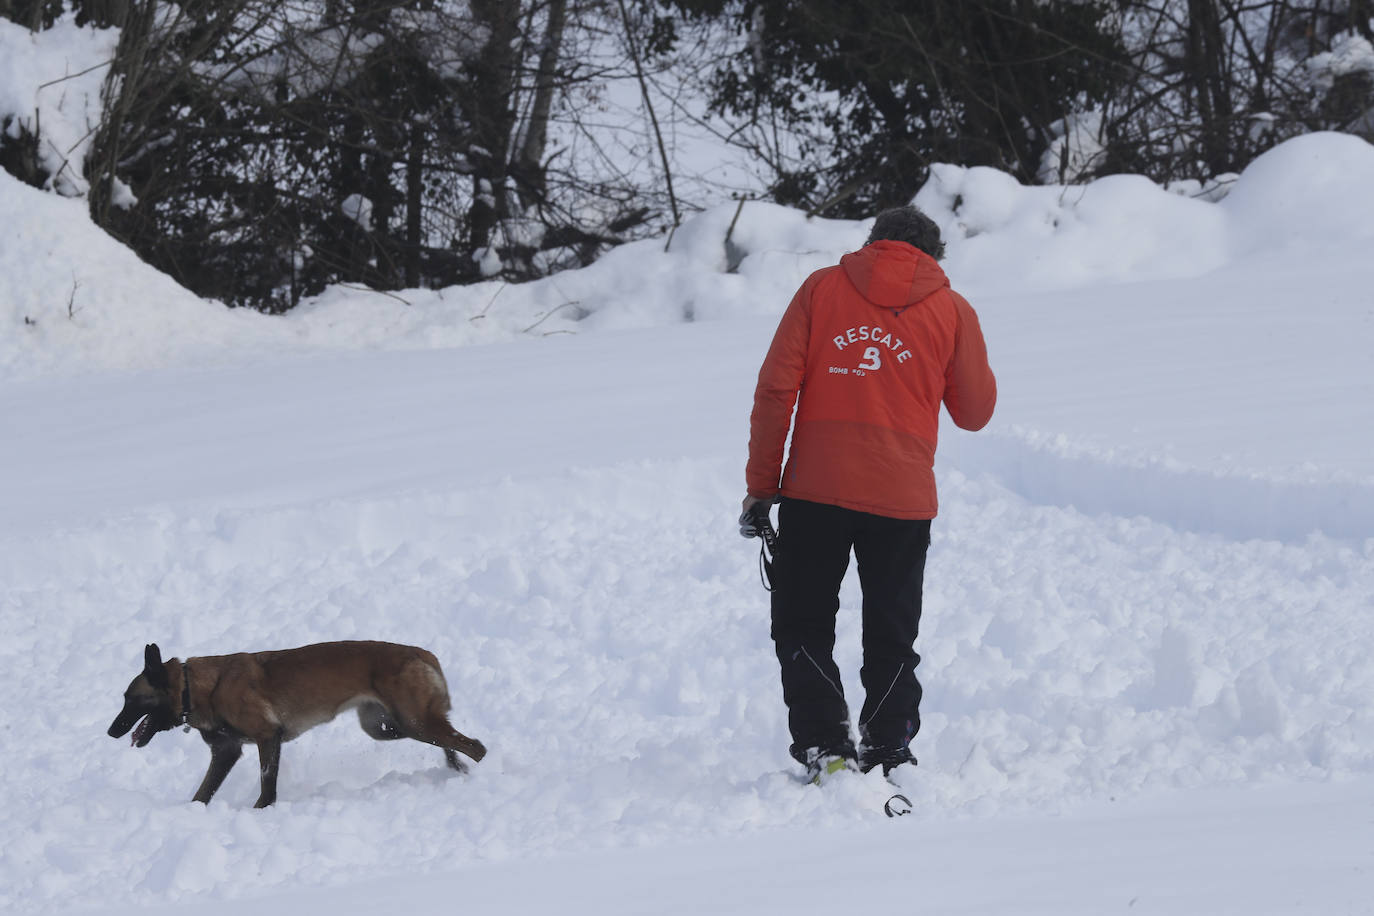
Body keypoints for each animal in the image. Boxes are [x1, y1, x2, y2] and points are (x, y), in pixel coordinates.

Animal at [111, 642, 489, 807]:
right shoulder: (226, 752)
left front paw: (262, 811)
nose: (111, 731)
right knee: (453, 743)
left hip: (414, 722)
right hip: (390, 727)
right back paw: (456, 770)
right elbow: (201, 795)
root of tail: (423, 653)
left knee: (476, 747)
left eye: (132, 699)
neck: (196, 686)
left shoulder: (268, 737)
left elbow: (267, 788)